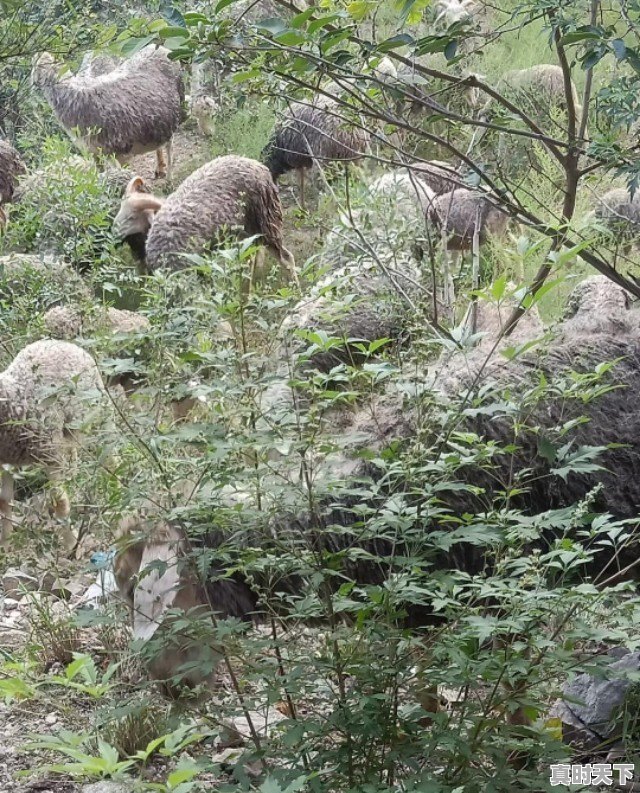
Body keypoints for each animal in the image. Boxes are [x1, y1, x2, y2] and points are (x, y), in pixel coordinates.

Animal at [0, 338, 114, 548]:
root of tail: (61, 342)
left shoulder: (49, 453)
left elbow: (59, 500)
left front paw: (71, 545)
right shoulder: (5, 460)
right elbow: (4, 500)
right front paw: (5, 542)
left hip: (100, 409)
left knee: (110, 447)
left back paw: (115, 482)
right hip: (69, 430)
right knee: (72, 453)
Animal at [31, 48, 184, 181]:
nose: (32, 84)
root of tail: (160, 48)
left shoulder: (120, 151)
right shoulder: (93, 152)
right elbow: (101, 173)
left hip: (177, 106)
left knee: (170, 144)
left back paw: (169, 178)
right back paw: (160, 169)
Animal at [112, 158, 298, 284]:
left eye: (132, 217)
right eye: (120, 211)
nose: (113, 235)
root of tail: (258, 165)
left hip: (267, 220)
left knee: (286, 258)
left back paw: (294, 288)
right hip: (249, 229)